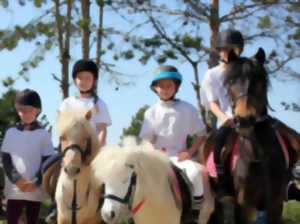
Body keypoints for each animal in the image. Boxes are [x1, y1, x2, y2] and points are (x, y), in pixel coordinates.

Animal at [202, 48, 300, 224]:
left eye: (259, 80)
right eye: (231, 82)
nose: (244, 120)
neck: (259, 154)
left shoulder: (275, 205)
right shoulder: (245, 206)